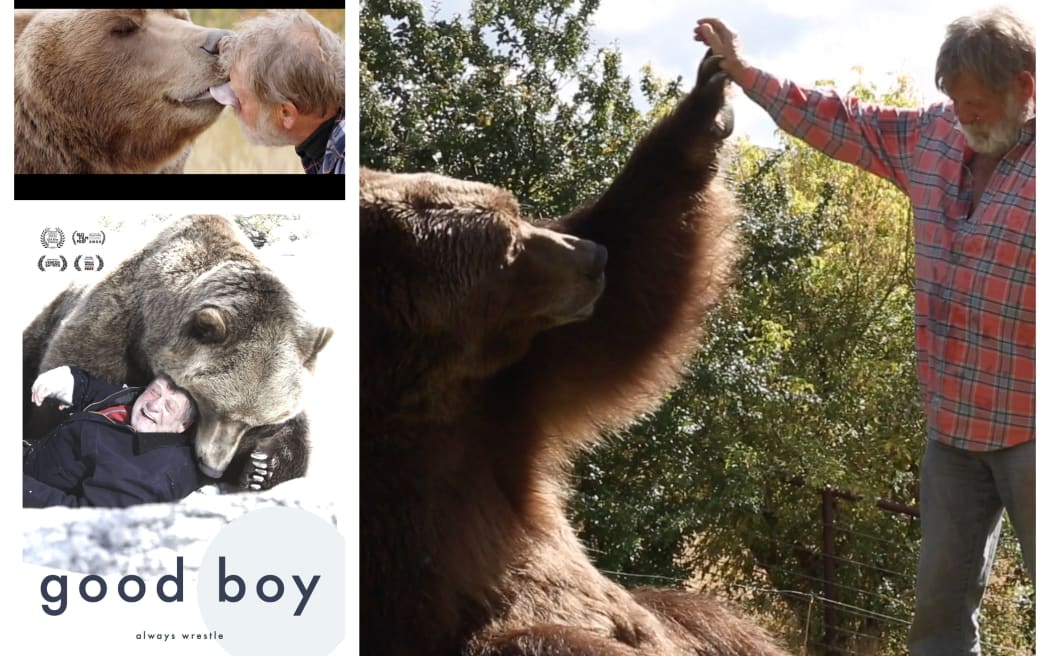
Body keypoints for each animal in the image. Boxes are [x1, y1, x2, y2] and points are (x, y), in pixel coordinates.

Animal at [361, 51, 789, 655]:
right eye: (508, 246)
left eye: (514, 210)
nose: (591, 256)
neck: (412, 385)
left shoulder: (499, 404)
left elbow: (633, 279)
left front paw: (707, 102)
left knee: (706, 616)